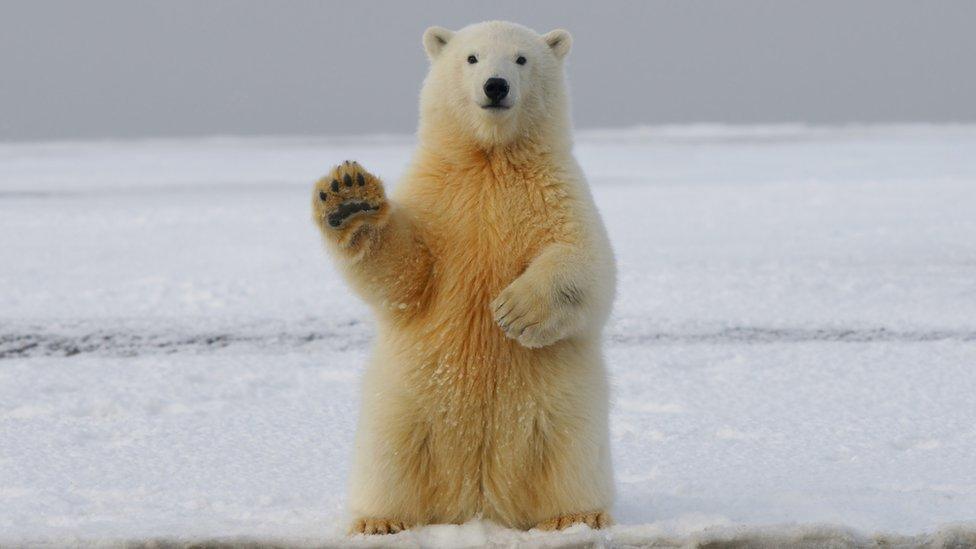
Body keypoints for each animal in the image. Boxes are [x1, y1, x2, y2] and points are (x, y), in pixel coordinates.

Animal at [310, 20, 616, 532]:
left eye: (521, 59)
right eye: (471, 58)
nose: (496, 86)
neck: (489, 160)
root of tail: (478, 501)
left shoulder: (557, 191)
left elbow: (587, 262)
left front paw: (514, 311)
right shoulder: (439, 197)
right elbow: (407, 273)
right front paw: (349, 197)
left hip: (563, 407)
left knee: (569, 456)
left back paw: (575, 517)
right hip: (404, 403)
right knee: (389, 458)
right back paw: (380, 521)